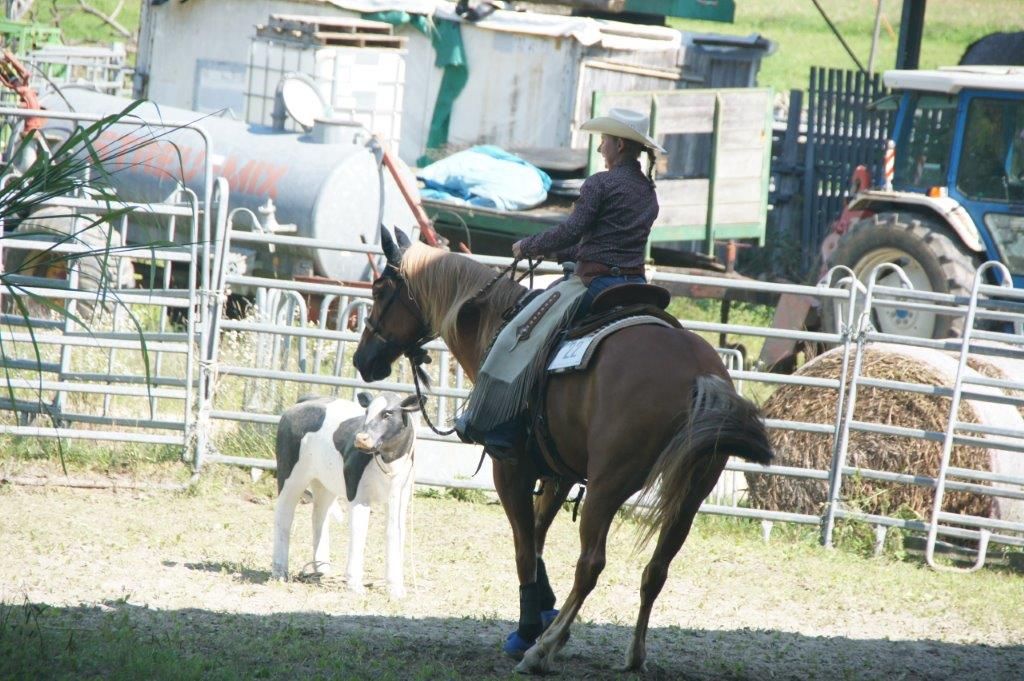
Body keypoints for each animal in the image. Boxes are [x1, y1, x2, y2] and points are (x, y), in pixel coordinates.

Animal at [353, 227, 773, 674]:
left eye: (380, 290)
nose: (363, 359)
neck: (495, 319)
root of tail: (699, 373)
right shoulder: (559, 474)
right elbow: (537, 537)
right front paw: (543, 607)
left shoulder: (511, 469)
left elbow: (524, 546)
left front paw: (527, 629)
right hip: (690, 494)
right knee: (656, 569)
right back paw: (633, 654)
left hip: (609, 486)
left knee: (590, 564)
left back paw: (544, 648)